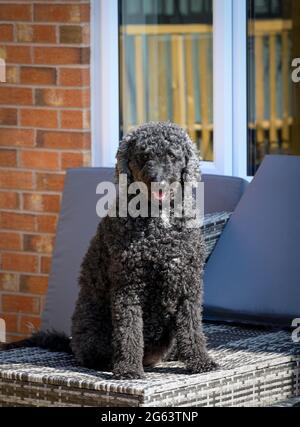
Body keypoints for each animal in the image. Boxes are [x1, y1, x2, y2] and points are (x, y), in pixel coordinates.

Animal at [0, 122, 217, 380]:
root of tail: (72, 344)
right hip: (95, 327)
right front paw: (129, 370)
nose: (158, 180)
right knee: (96, 354)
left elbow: (192, 328)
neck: (159, 221)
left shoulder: (187, 284)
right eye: (144, 156)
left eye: (172, 156)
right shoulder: (128, 286)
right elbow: (129, 332)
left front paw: (200, 362)